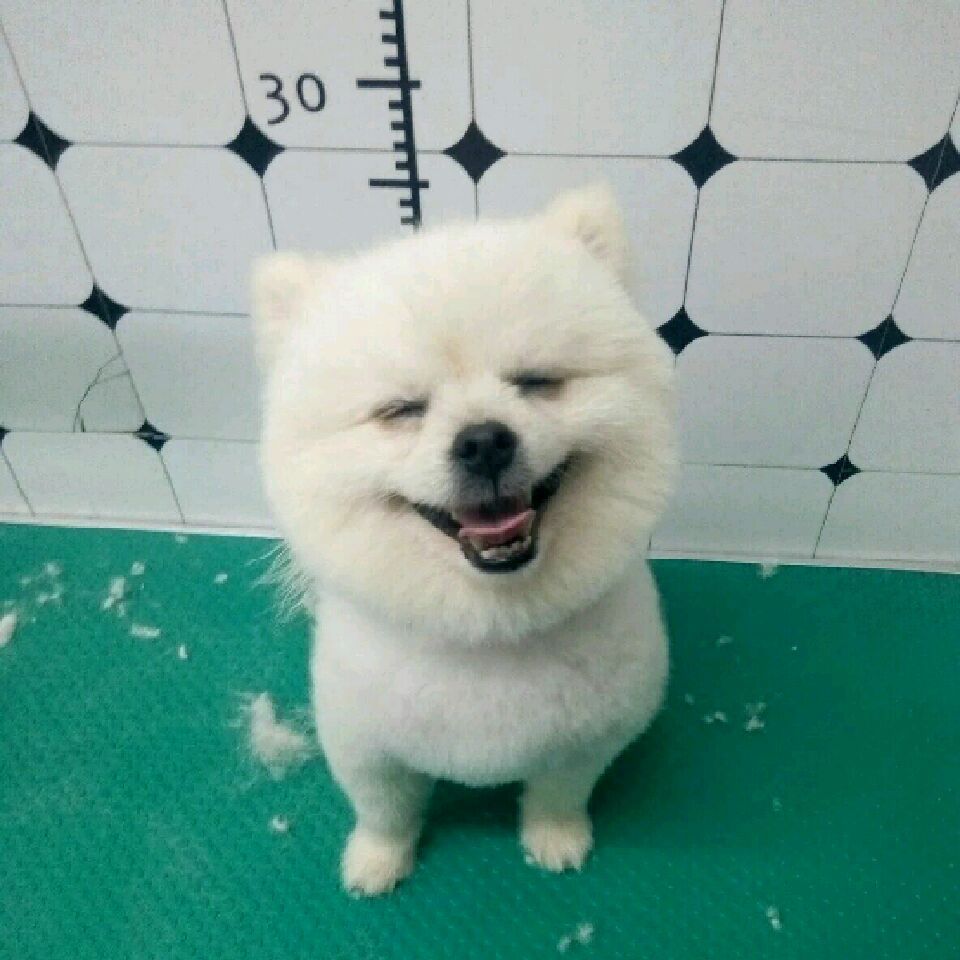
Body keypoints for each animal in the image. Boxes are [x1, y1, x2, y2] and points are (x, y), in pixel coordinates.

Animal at [253, 184, 676, 895]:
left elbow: (559, 793)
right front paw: (377, 861)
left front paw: (555, 839)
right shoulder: (365, 744)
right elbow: (385, 810)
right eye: (400, 411)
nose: (483, 441)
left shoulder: (589, 740)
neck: (488, 635)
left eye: (536, 381)